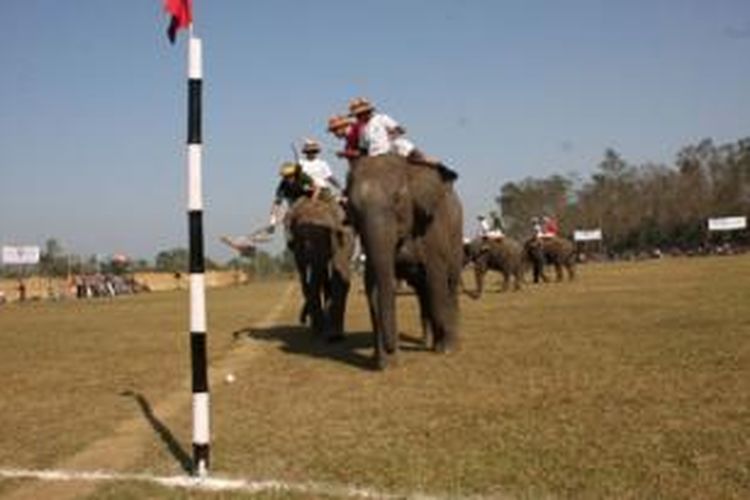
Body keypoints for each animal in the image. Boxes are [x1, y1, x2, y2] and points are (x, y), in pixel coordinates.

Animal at [348, 152, 464, 368]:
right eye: (351, 208)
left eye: (396, 200)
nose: (391, 347)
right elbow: (374, 287)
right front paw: (387, 365)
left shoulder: (432, 229)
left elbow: (436, 280)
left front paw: (445, 350)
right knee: (423, 291)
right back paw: (428, 342)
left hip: (456, 237)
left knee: (448, 285)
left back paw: (448, 345)